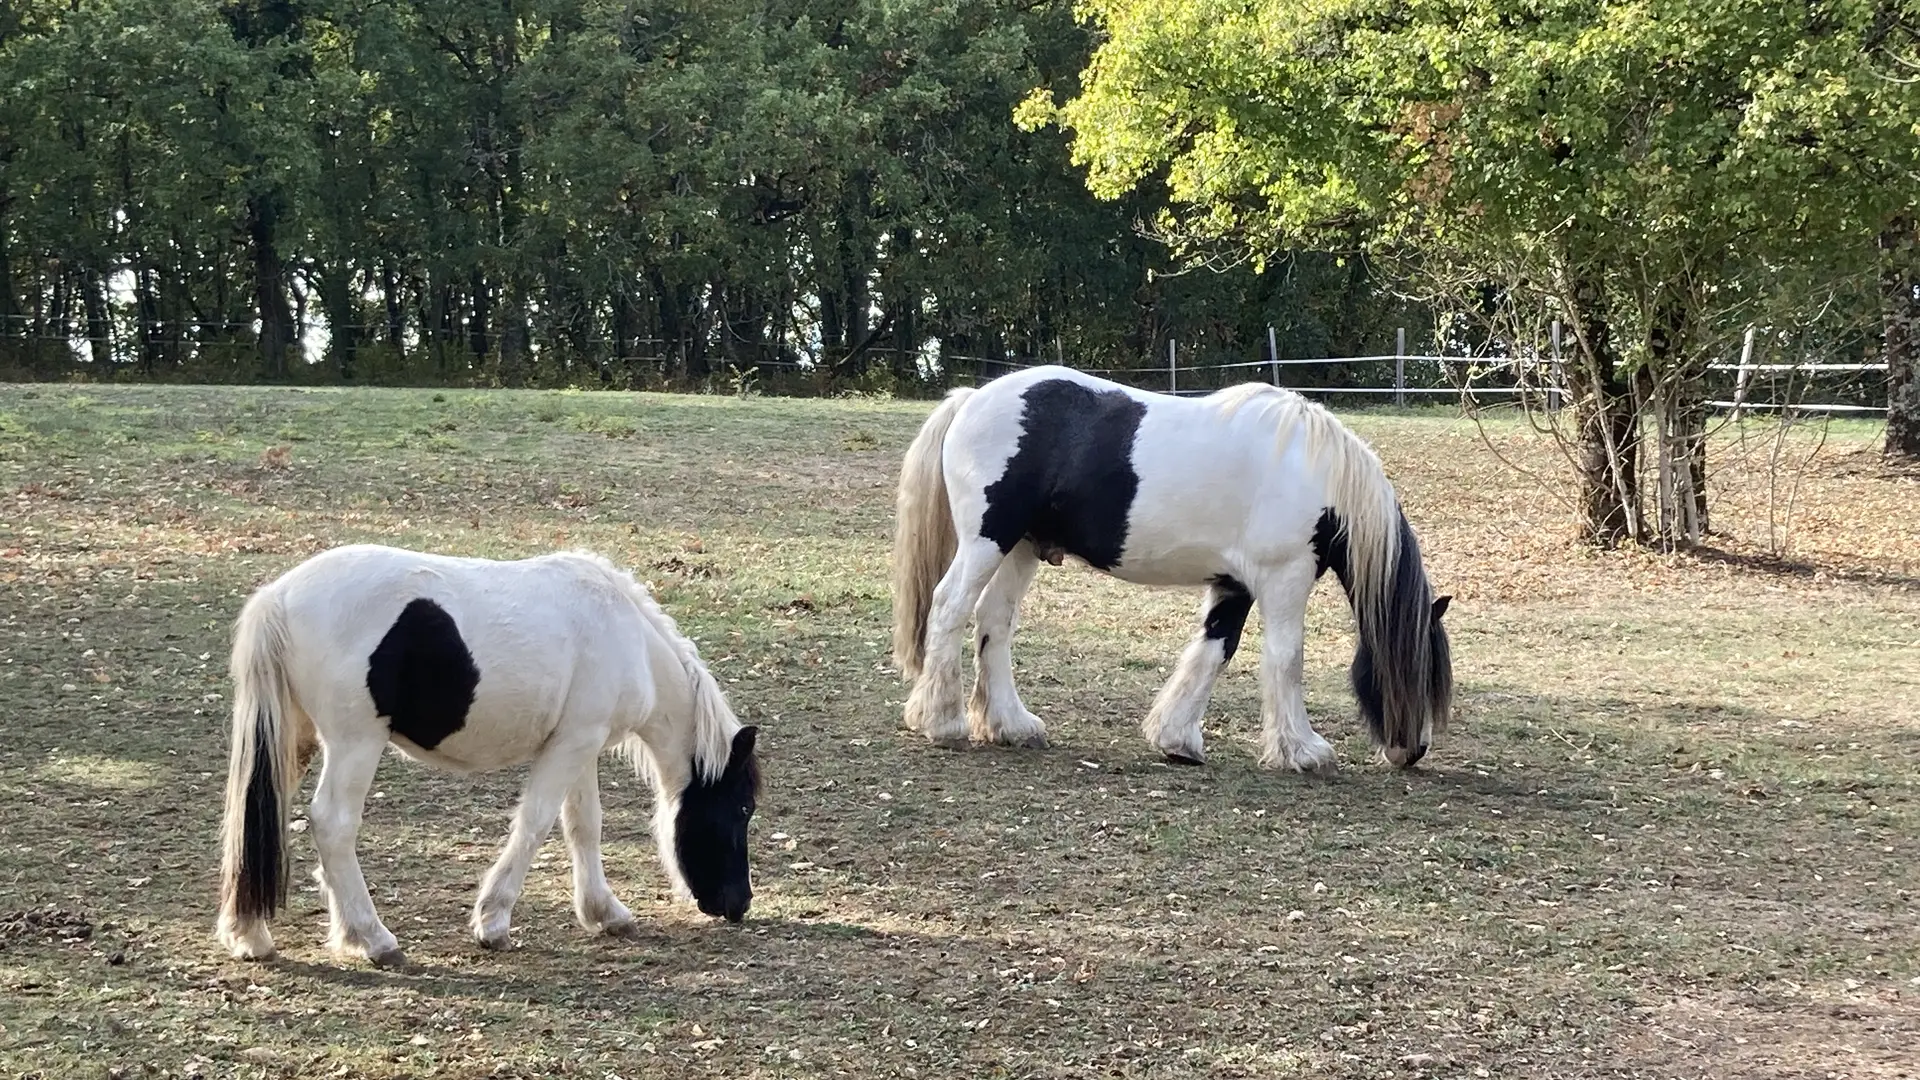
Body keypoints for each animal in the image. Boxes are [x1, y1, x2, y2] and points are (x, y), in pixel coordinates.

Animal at [214, 541, 760, 960]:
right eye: (741, 808)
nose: (738, 904)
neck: (630, 639)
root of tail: (280, 597)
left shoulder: (580, 744)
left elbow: (583, 826)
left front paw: (606, 912)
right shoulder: (574, 744)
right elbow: (536, 823)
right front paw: (493, 922)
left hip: (294, 740)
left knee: (256, 815)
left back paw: (251, 935)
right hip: (355, 744)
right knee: (333, 824)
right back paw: (371, 938)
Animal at [890, 365, 1443, 768]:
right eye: (1420, 670)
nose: (1413, 750)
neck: (1313, 472)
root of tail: (970, 399)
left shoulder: (1235, 584)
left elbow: (1215, 650)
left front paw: (1176, 739)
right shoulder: (1285, 577)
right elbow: (1285, 659)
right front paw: (1304, 751)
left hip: (1021, 549)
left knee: (994, 622)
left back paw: (1012, 726)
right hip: (987, 541)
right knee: (949, 607)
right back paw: (942, 722)